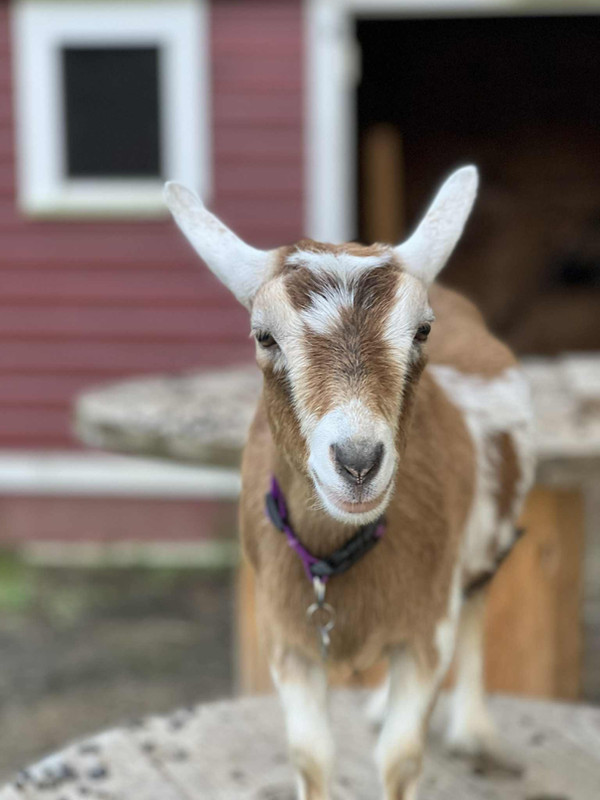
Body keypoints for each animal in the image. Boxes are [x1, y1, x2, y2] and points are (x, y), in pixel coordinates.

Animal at [165, 166, 535, 800]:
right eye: (263, 336)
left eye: (423, 331)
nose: (359, 462)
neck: (338, 553)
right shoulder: (286, 638)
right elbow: (312, 756)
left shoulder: (427, 626)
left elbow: (402, 757)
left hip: (483, 549)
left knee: (476, 607)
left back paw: (473, 730)